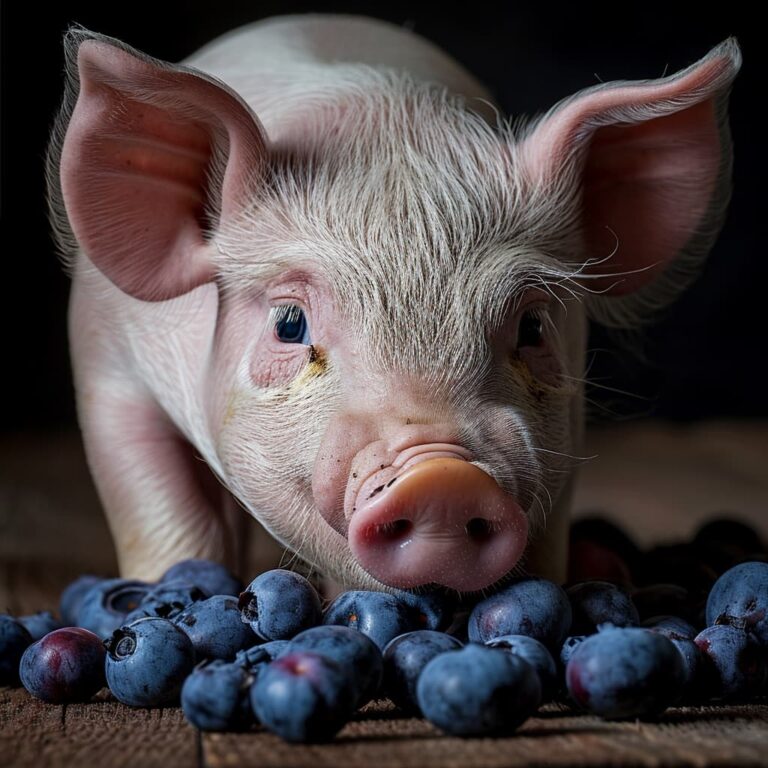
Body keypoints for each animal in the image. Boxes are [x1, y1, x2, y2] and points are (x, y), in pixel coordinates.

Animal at [47, 15, 741, 593]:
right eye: (289, 324)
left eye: (533, 326)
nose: (444, 480)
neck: (381, 121)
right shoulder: (108, 369)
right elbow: (169, 513)